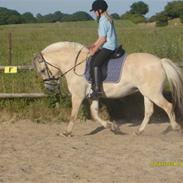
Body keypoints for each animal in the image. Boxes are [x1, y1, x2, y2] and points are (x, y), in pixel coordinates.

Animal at [33, 41, 183, 136]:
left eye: (42, 70)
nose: (50, 89)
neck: (75, 64)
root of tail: (160, 62)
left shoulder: (77, 96)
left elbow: (73, 115)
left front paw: (66, 132)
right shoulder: (93, 95)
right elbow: (94, 114)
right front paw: (113, 127)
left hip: (153, 93)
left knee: (168, 106)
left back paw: (176, 128)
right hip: (147, 93)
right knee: (149, 111)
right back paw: (139, 131)